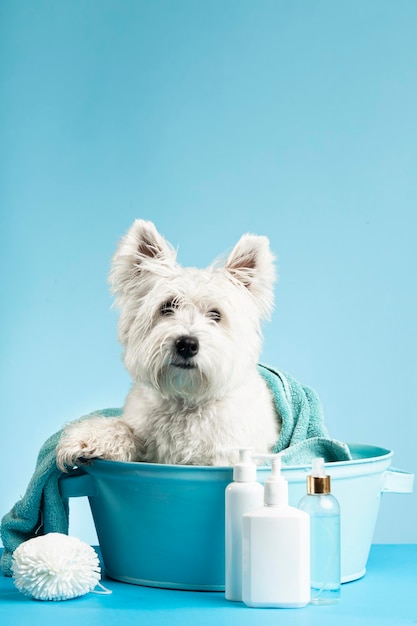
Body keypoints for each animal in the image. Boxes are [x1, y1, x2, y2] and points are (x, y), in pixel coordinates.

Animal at [57, 219, 280, 468]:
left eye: (216, 314)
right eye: (167, 306)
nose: (187, 344)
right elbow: (124, 428)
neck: (186, 402)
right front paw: (87, 439)